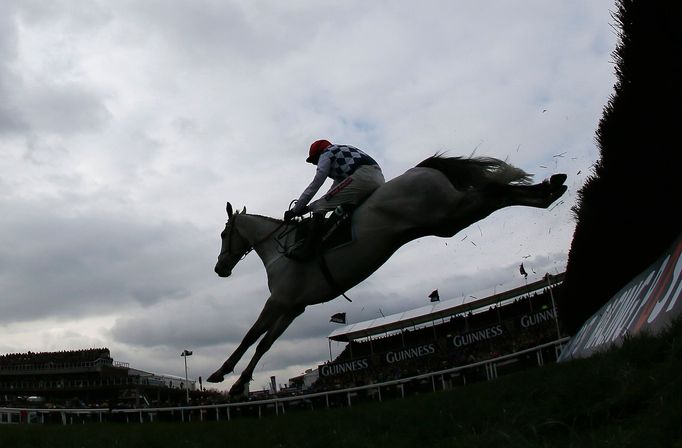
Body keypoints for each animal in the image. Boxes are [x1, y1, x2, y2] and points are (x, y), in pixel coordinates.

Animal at [205, 154, 564, 396]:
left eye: (223, 234)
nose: (220, 269)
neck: (281, 249)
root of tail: (423, 167)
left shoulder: (279, 300)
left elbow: (252, 335)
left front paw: (223, 374)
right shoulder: (295, 307)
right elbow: (266, 343)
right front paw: (237, 382)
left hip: (449, 212)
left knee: (493, 191)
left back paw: (546, 187)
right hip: (450, 218)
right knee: (499, 195)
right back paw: (549, 190)